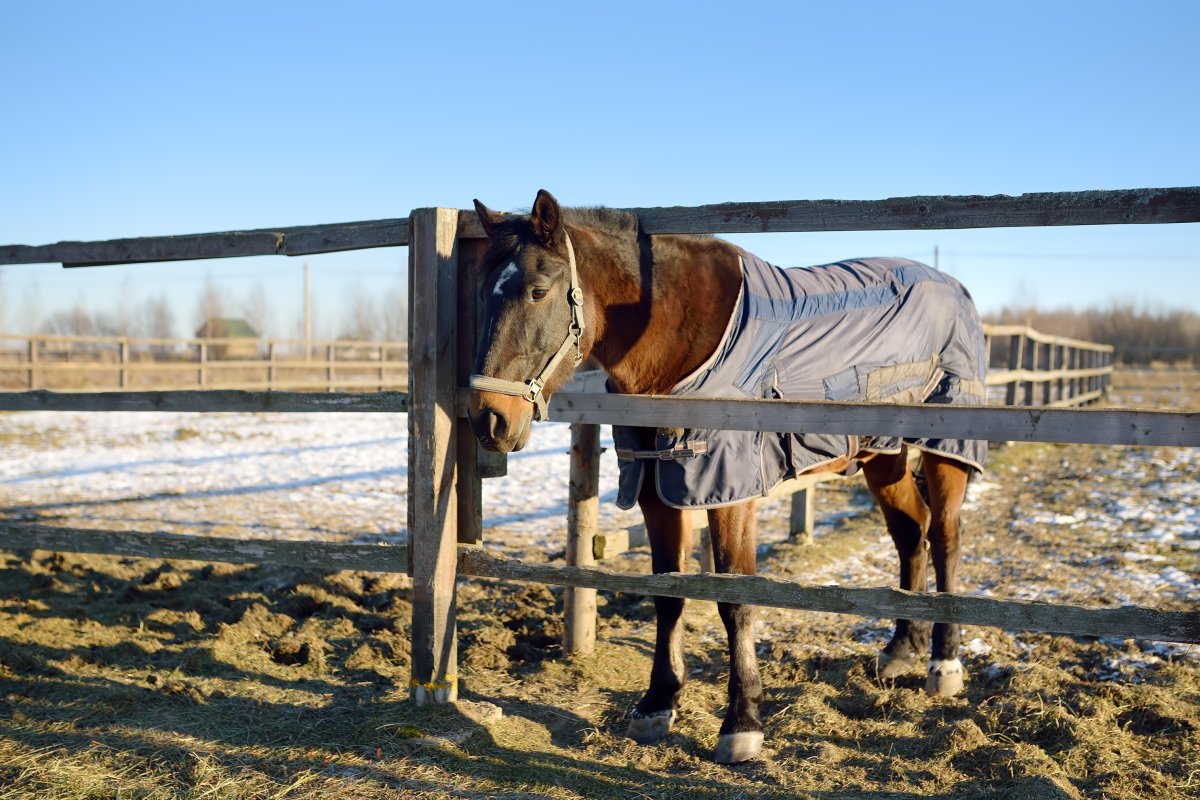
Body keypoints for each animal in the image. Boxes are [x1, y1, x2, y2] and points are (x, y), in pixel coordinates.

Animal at [466, 190, 986, 763]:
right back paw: (900, 649)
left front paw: (742, 722)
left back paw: (944, 662)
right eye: (482, 294)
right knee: (911, 532)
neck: (676, 340)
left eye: (538, 291)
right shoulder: (657, 490)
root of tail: (956, 288)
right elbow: (668, 594)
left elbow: (733, 599)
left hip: (945, 450)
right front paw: (657, 702)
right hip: (882, 456)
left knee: (946, 536)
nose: (489, 421)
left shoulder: (730, 492)